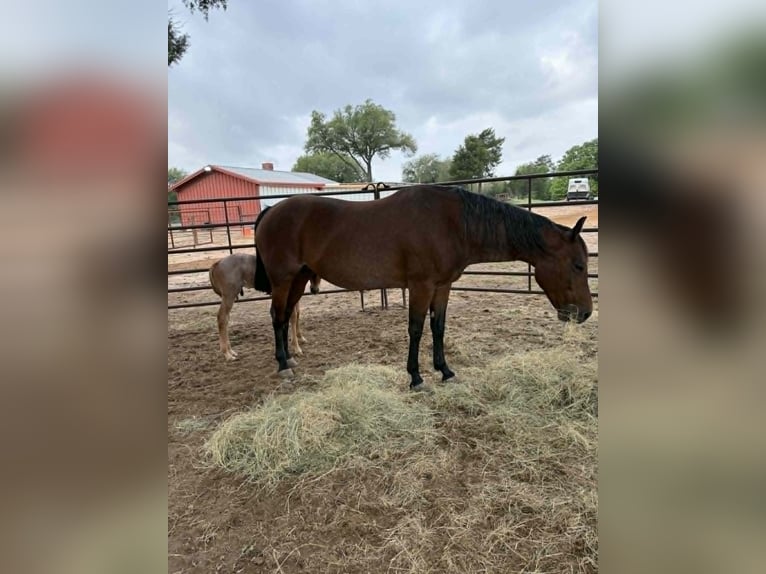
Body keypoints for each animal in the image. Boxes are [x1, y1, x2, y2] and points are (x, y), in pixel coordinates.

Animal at [253, 185, 592, 391]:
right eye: (578, 265)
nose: (586, 313)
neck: (452, 223)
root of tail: (271, 211)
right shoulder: (421, 286)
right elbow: (416, 329)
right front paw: (416, 377)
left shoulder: (442, 286)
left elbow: (438, 327)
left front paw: (445, 370)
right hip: (283, 279)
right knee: (277, 317)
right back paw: (283, 365)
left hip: (298, 279)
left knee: (285, 316)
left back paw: (288, 359)